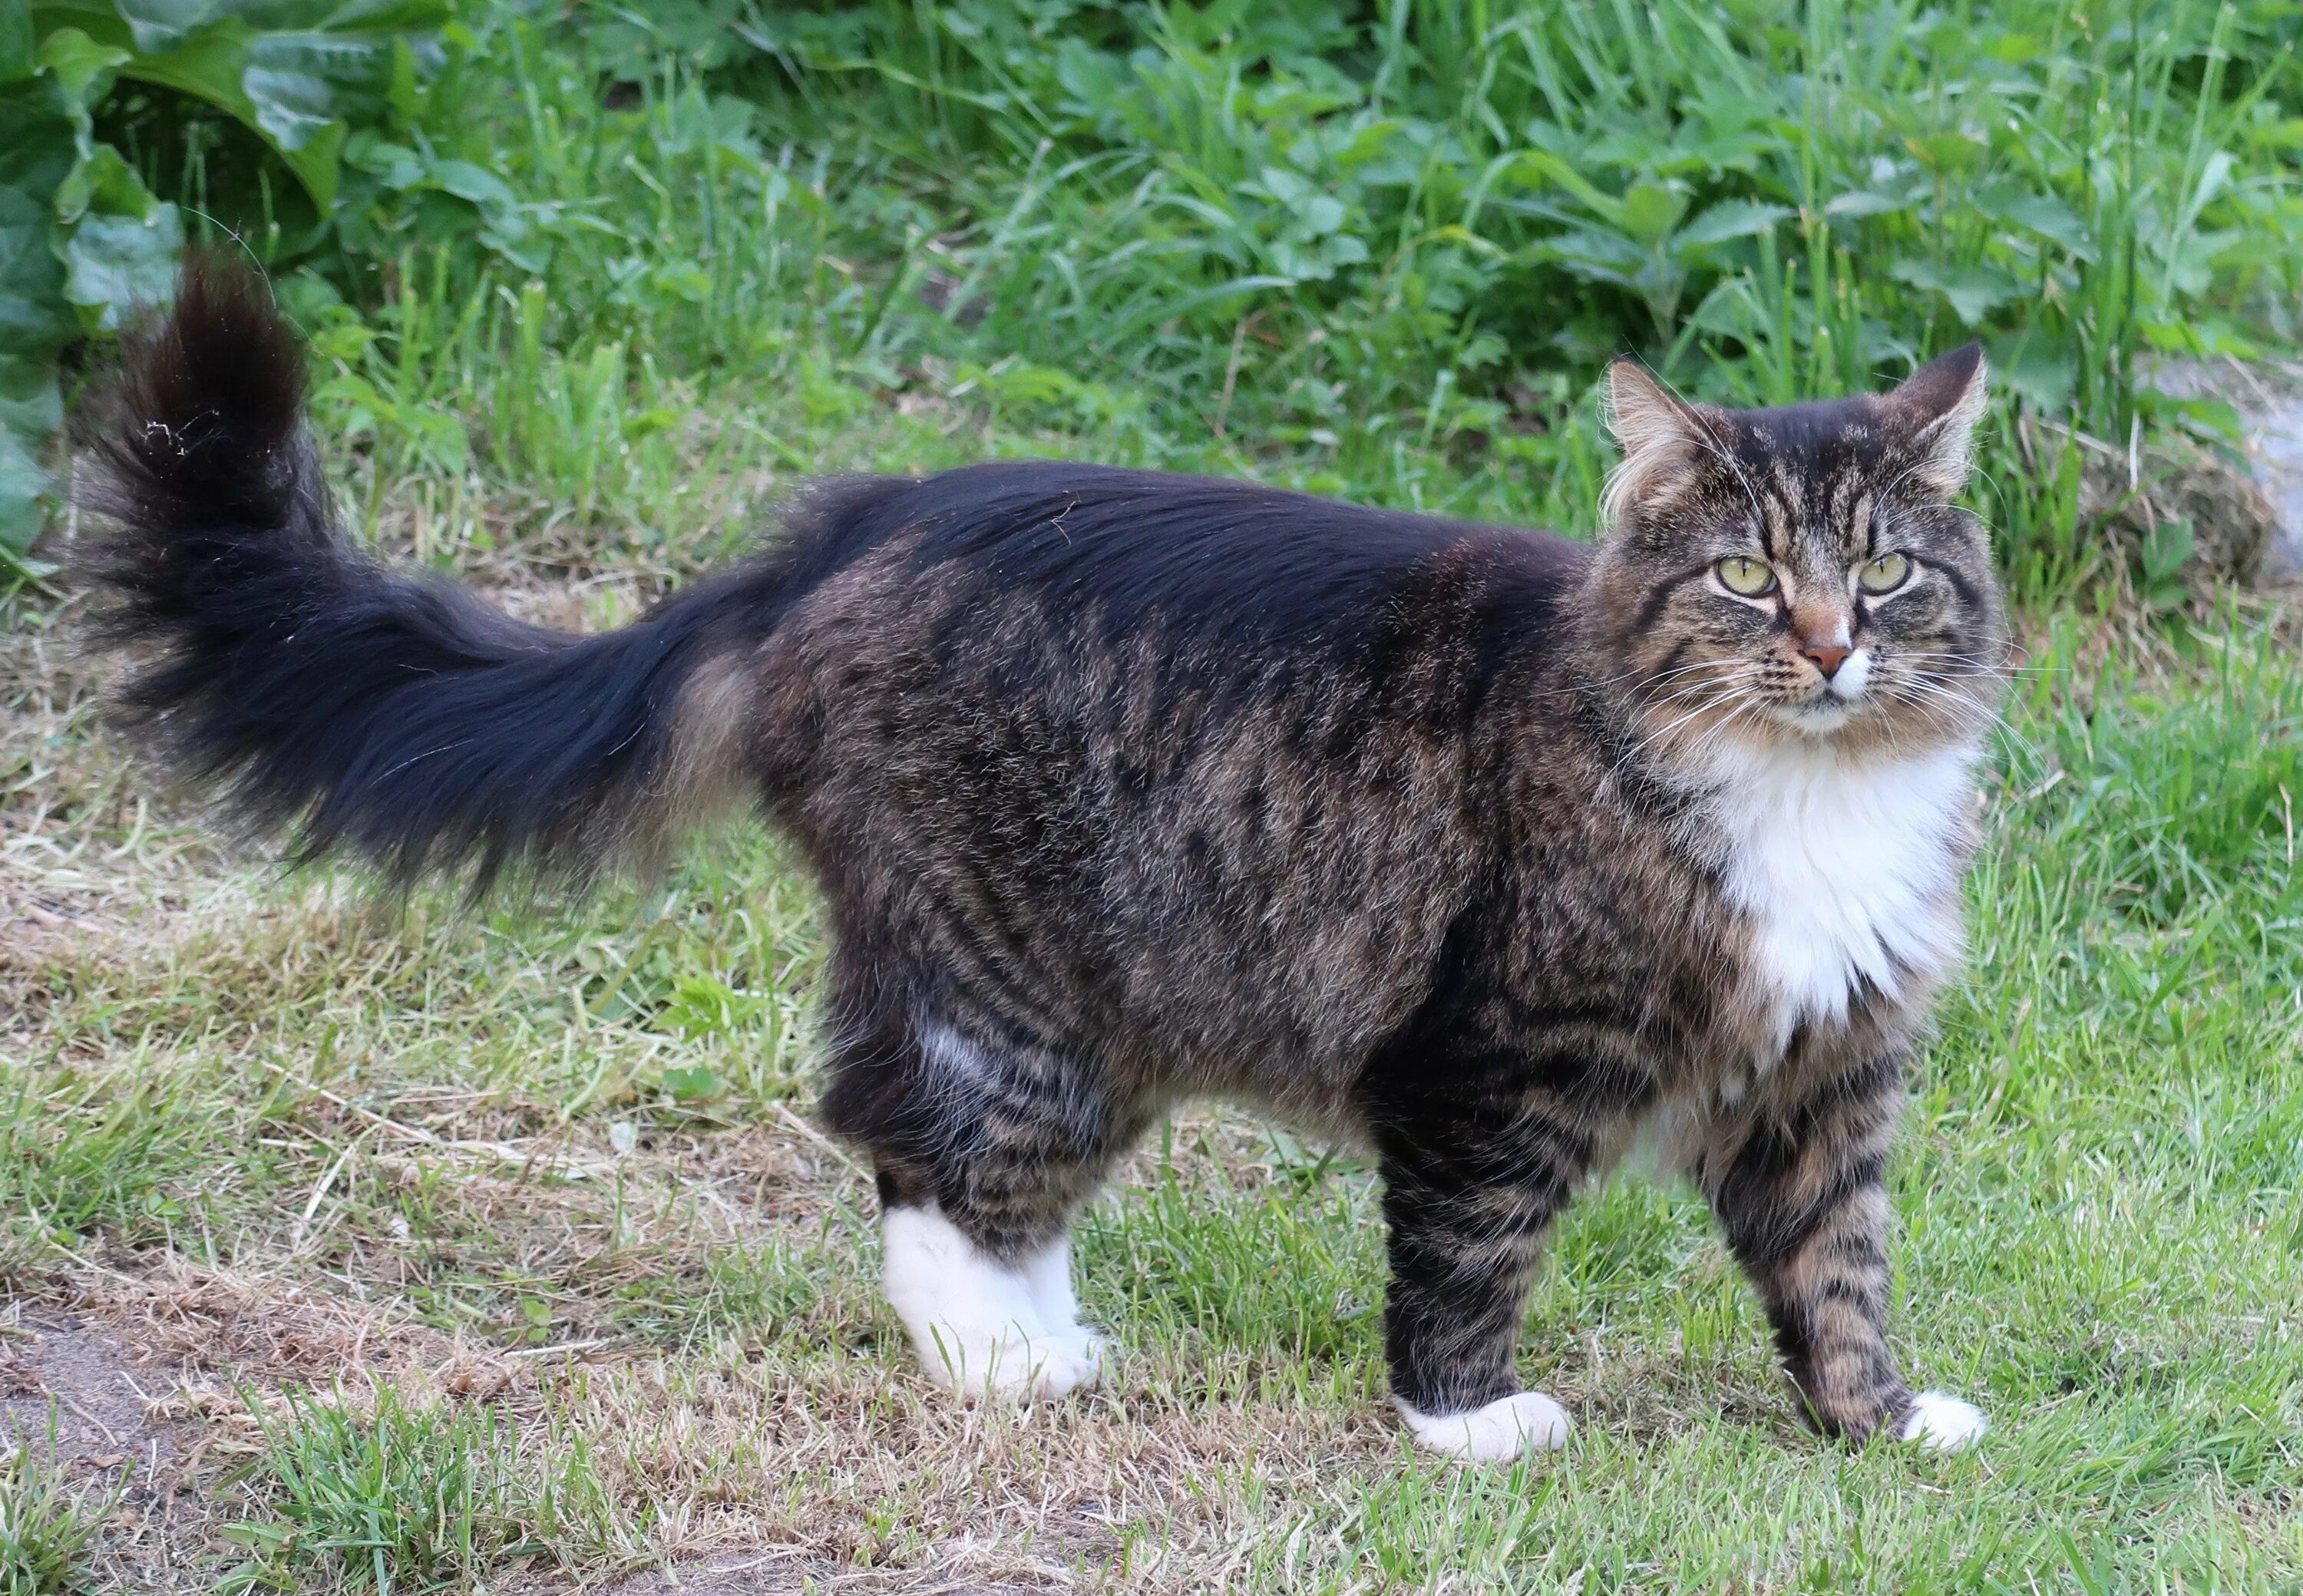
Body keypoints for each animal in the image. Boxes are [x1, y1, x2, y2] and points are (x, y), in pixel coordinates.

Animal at [81, 258, 1999, 1456]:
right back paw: (1007, 1370)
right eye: (1746, 578)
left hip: (1112, 982)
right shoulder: (1495, 1058)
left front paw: (1883, 1419)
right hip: (1020, 981)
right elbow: (1471, 1250)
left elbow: (1838, 1269)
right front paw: (1467, 1426)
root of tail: (839, 528)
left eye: (1885, 572)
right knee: (921, 1154)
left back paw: (1052, 1339)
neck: (1806, 794)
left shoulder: (1827, 1072)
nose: (1831, 644)